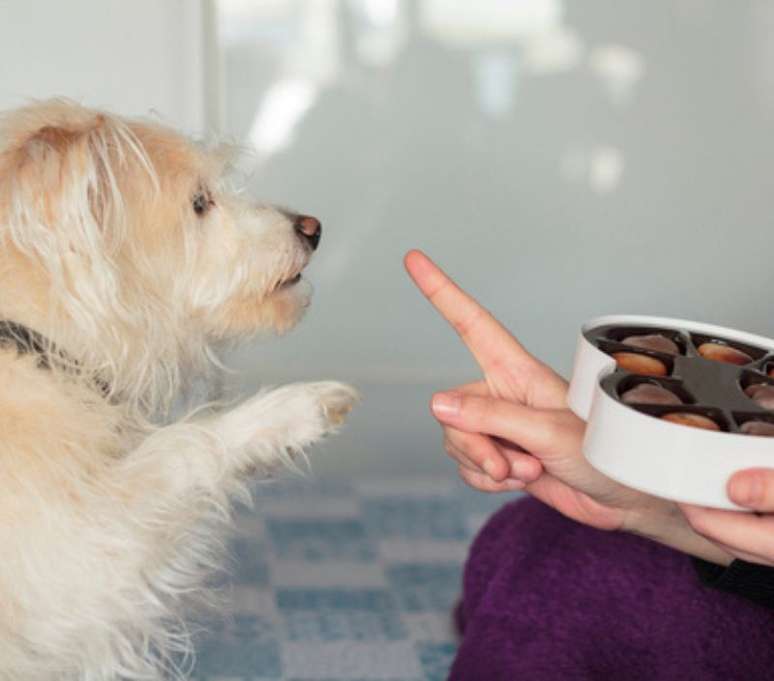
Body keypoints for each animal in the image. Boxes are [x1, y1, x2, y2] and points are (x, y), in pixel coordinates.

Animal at [0, 101, 358, 680]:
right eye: (199, 203)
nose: (313, 227)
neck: (28, 340)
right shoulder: (78, 558)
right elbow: (180, 447)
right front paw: (292, 411)